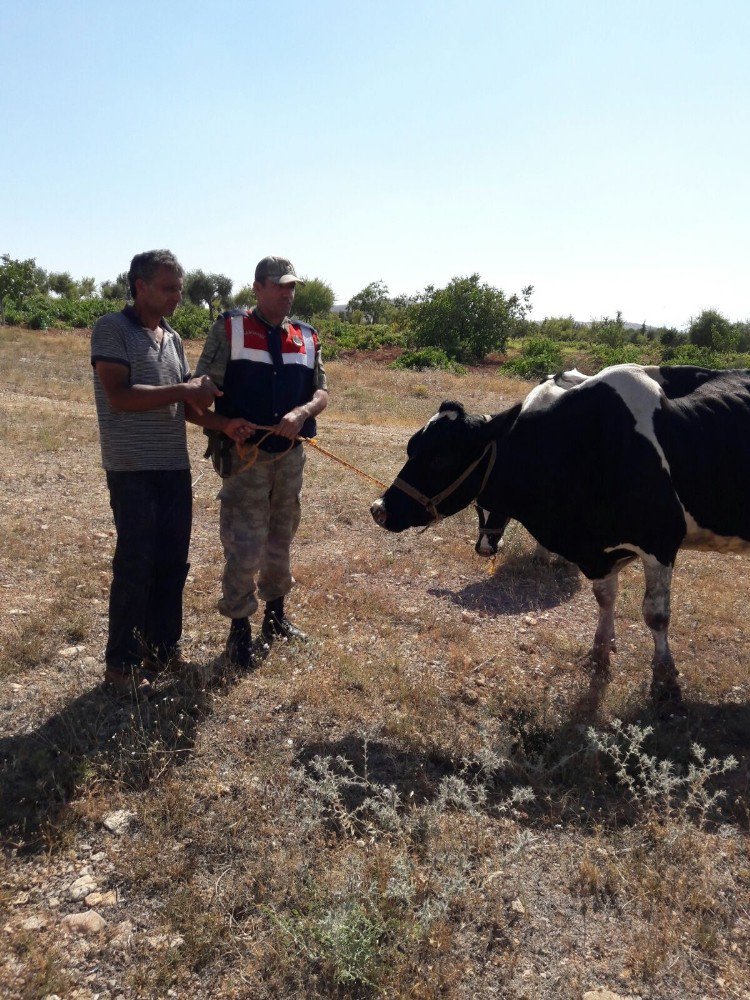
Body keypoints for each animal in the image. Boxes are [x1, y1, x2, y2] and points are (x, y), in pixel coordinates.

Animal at [374, 364, 750, 700]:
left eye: (440, 458)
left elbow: (656, 615)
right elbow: (605, 597)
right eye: (411, 447)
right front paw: (600, 650)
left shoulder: (659, 541)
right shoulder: (597, 551)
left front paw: (664, 675)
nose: (379, 509)